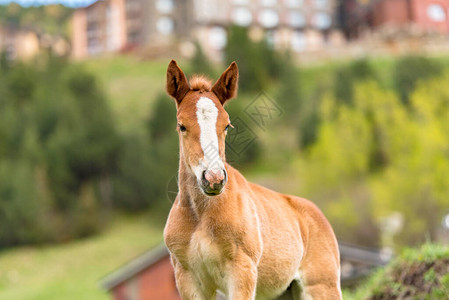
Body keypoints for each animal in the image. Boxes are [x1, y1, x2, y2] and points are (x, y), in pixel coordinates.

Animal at [163, 59, 342, 298]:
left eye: (227, 125)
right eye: (182, 126)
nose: (213, 179)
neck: (200, 216)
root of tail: (318, 216)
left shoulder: (242, 272)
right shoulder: (187, 279)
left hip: (322, 287)